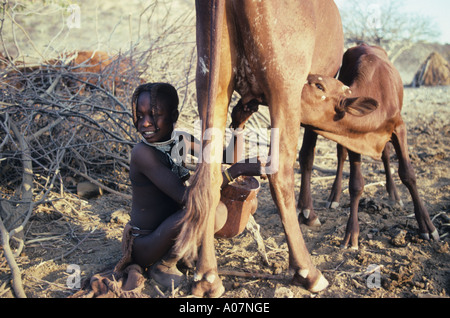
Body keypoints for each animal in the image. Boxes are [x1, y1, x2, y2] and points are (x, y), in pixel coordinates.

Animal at [173, 0, 344, 298]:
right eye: (320, 85)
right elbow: (307, 154)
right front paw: (309, 213)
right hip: (284, 90)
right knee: (280, 172)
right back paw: (308, 272)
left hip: (211, 82)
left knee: (210, 176)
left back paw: (207, 276)